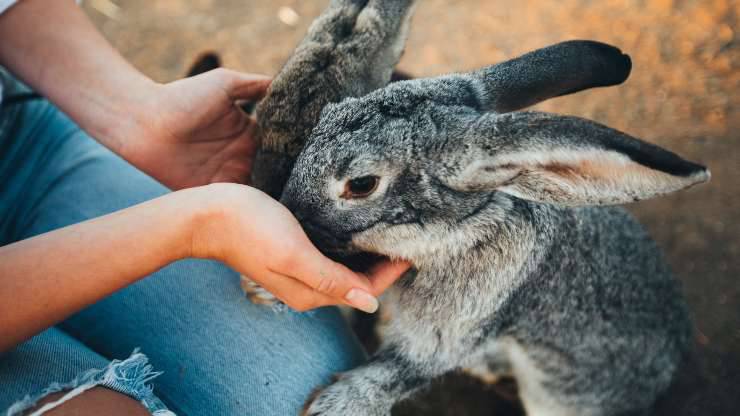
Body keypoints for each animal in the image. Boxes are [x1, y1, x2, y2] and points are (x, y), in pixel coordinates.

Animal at [241, 1, 709, 415]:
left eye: (361, 184)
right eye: (326, 116)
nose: (286, 207)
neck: (463, 227)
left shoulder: (451, 328)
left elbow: (402, 371)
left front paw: (332, 407)